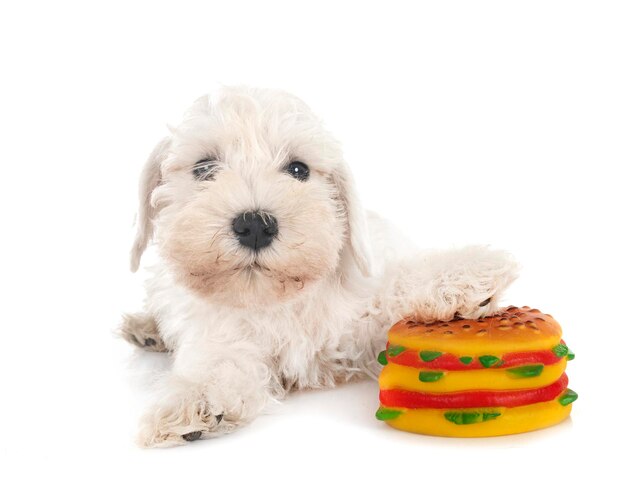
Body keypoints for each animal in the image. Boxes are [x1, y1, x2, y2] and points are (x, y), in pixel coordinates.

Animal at [120, 85, 516, 446]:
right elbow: (218, 363)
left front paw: (467, 274)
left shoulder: (364, 310)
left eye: (298, 169)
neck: (278, 299)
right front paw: (195, 396)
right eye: (204, 168)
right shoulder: (218, 334)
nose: (255, 225)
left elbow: (393, 288)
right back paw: (146, 329)